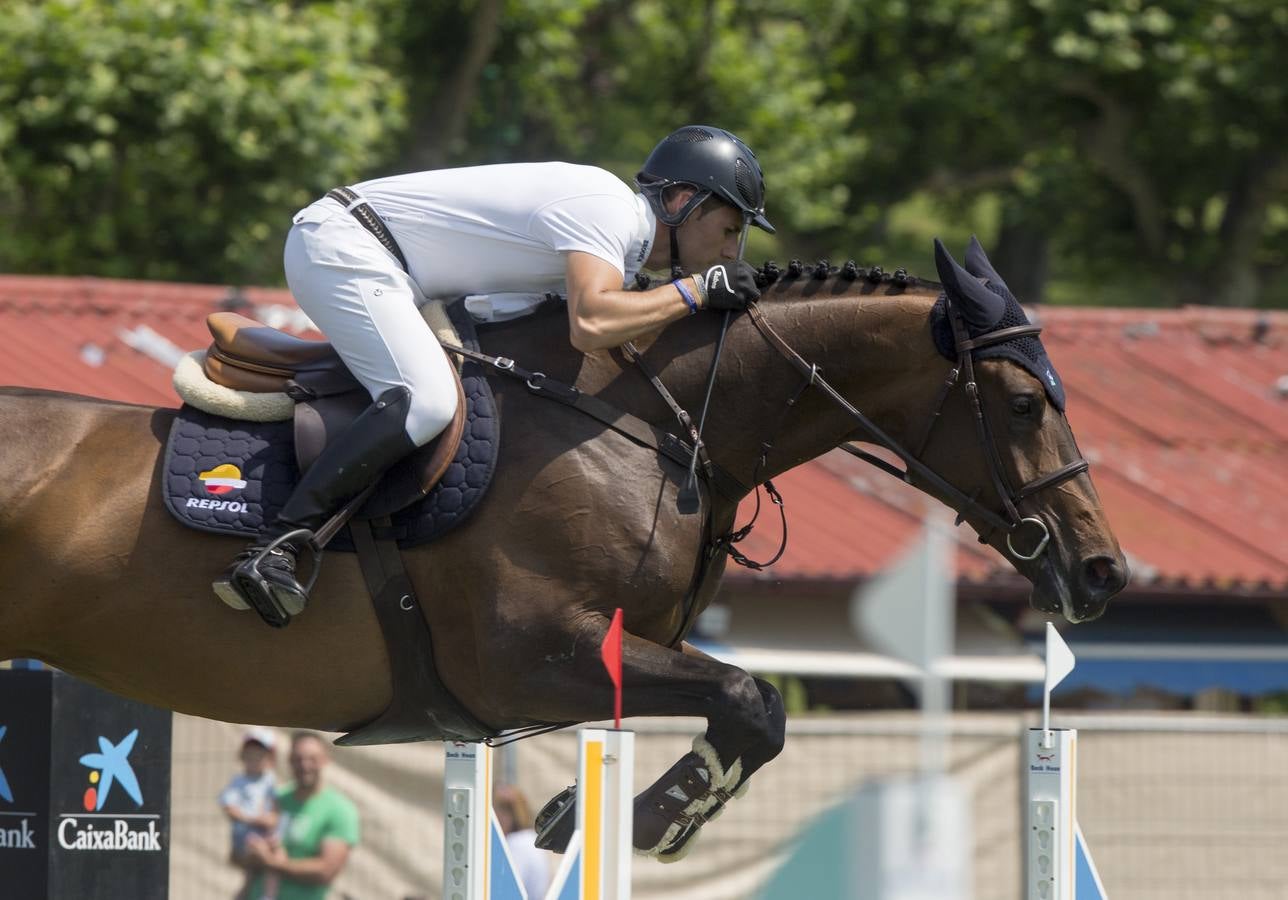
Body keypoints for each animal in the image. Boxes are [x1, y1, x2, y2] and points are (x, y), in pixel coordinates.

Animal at [0, 238, 1128, 860]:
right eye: (1024, 404)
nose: (1101, 571)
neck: (647, 422)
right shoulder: (531, 660)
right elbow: (752, 702)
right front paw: (628, 824)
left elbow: (745, 709)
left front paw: (593, 817)